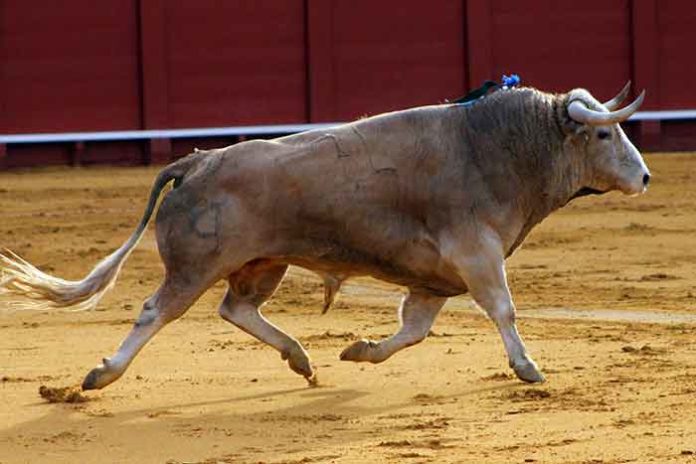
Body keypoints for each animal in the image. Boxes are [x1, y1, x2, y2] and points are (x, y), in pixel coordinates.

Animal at [2, 84, 648, 392]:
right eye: (605, 135)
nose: (643, 176)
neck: (503, 146)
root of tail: (197, 160)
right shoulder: (476, 253)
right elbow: (503, 310)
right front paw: (529, 367)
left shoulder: (436, 276)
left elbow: (413, 329)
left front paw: (359, 350)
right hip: (194, 267)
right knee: (155, 311)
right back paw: (102, 374)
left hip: (264, 263)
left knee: (237, 309)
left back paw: (302, 358)